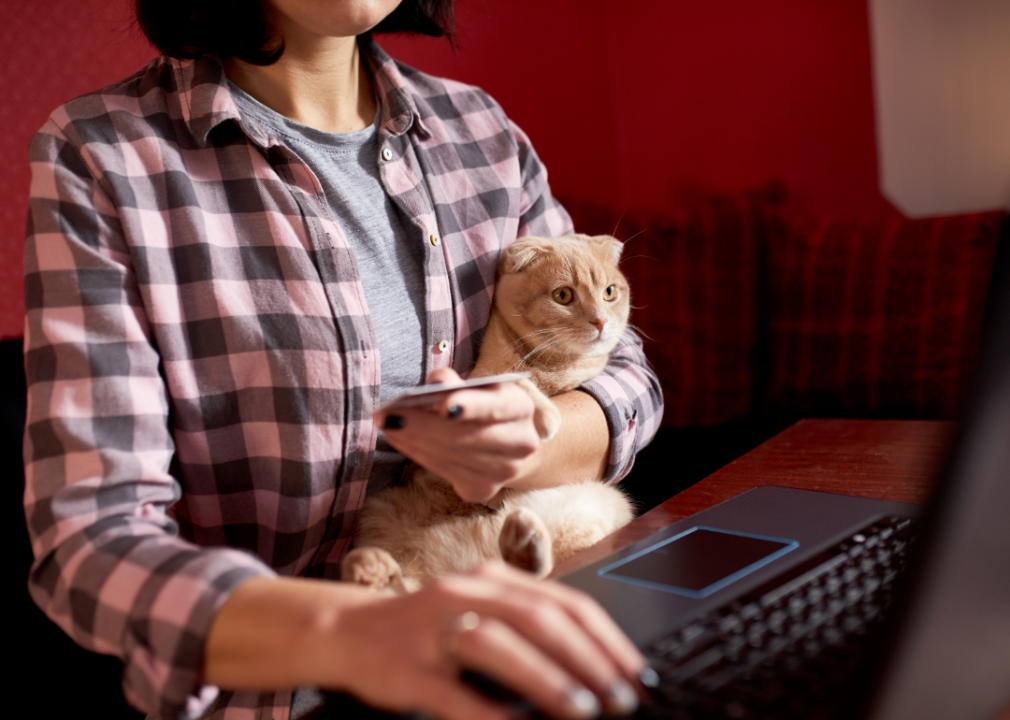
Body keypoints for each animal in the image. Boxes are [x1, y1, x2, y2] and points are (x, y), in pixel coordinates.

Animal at [343, 233, 634, 593]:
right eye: (563, 295)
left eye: (609, 292)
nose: (600, 321)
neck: (551, 366)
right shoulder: (481, 378)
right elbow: (514, 381)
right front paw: (544, 409)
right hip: (378, 511)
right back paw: (368, 568)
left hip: (596, 502)